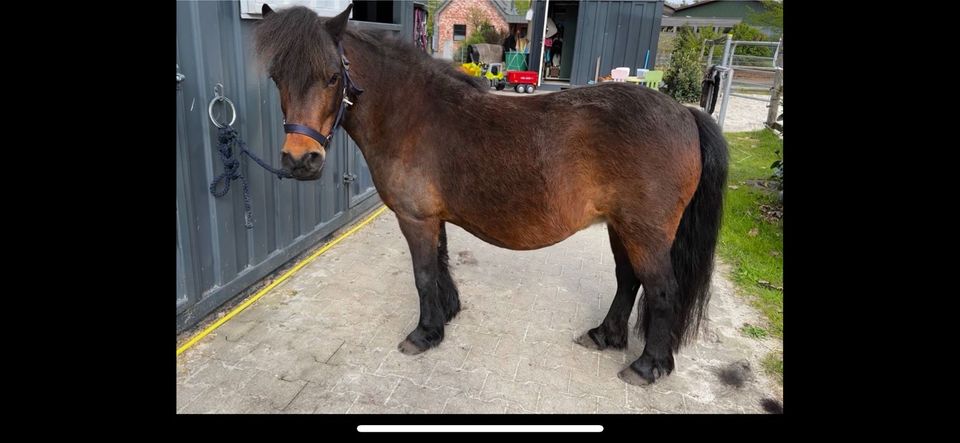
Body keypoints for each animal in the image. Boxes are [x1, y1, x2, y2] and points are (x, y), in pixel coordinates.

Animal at [255, 4, 728, 386]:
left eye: (332, 77)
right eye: (277, 77)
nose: (300, 160)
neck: (410, 114)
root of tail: (685, 113)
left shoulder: (415, 218)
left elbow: (423, 274)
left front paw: (424, 334)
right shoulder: (433, 217)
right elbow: (439, 266)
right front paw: (446, 315)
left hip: (645, 232)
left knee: (661, 290)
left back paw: (647, 366)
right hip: (621, 227)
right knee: (628, 280)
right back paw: (604, 335)